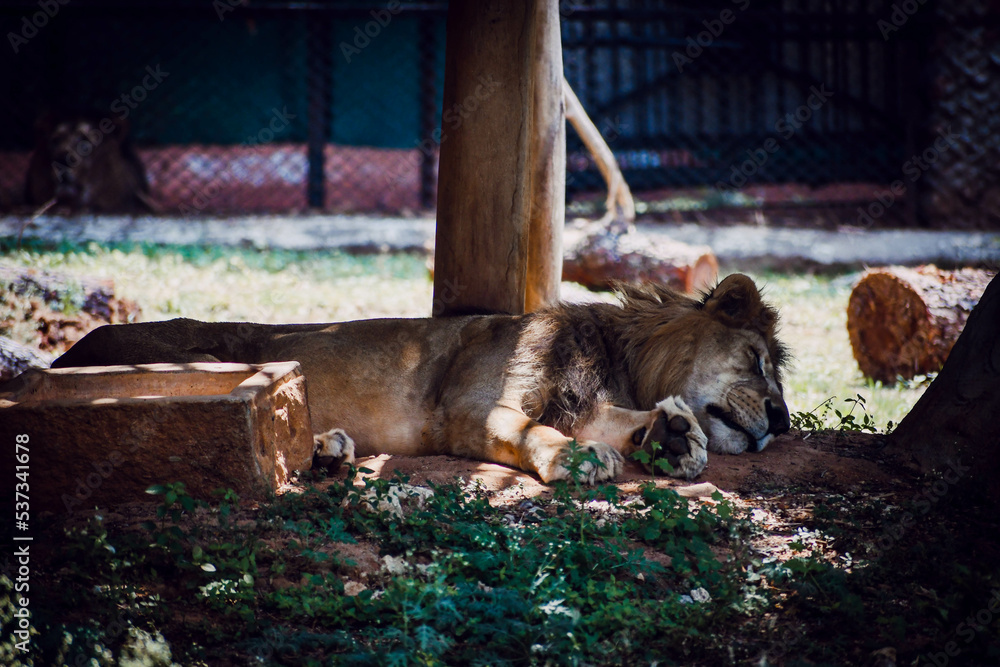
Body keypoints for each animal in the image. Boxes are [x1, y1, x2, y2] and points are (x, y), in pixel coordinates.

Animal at [50, 273, 790, 484]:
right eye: (757, 360)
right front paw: (578, 460)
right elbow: (534, 431)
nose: (782, 422)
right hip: (209, 361)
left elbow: (621, 421)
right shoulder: (473, 408)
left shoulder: (585, 402)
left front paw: (673, 437)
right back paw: (323, 448)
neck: (617, 354)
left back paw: (329, 451)